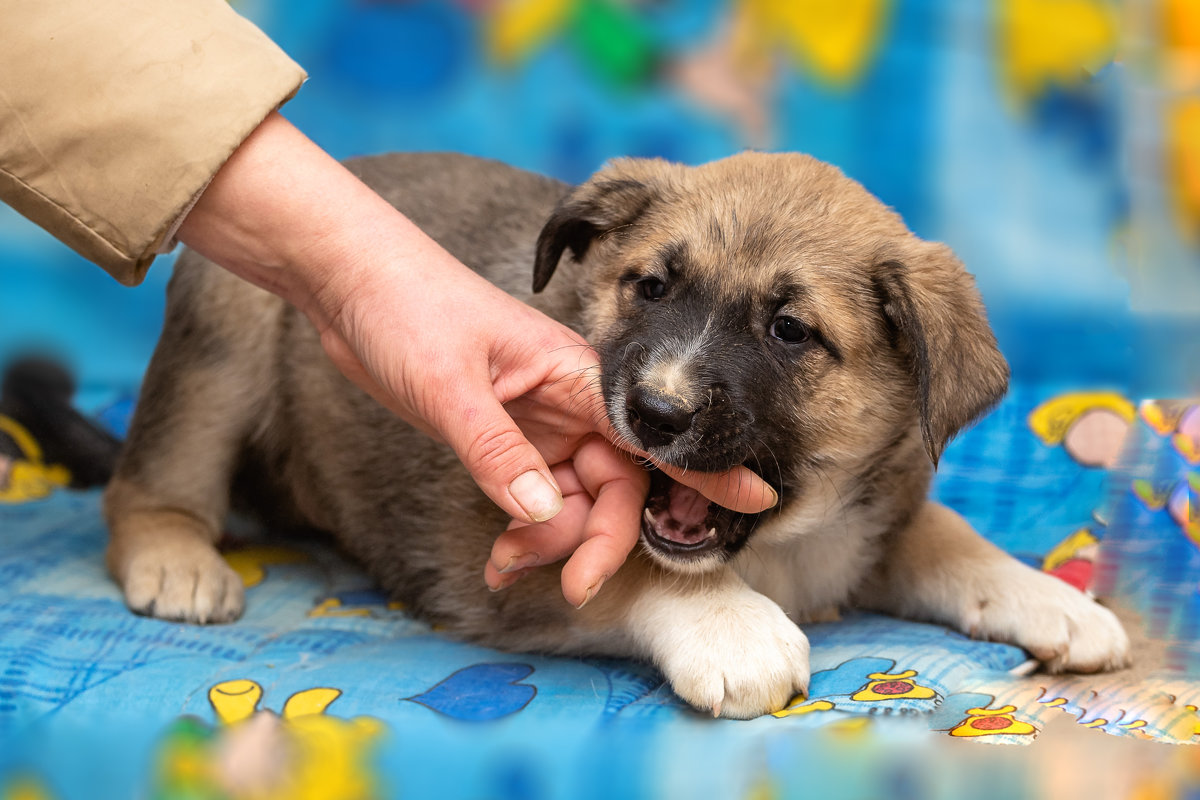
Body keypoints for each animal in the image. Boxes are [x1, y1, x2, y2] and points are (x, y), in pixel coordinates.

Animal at [105, 149, 1132, 719]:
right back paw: (176, 559)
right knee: (146, 482)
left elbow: (955, 540)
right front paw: (733, 630)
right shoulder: (500, 552)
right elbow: (634, 563)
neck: (787, 545)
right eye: (653, 287)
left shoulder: (880, 519)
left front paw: (1057, 602)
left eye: (789, 331)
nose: (654, 413)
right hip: (226, 329)